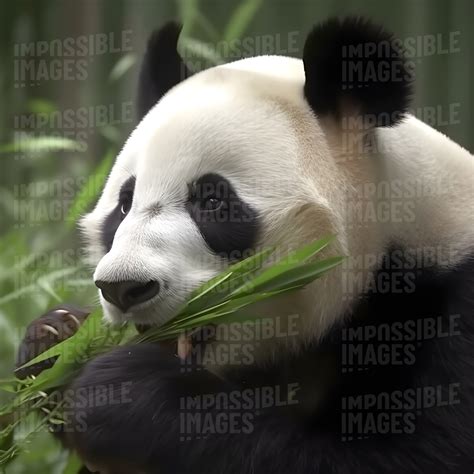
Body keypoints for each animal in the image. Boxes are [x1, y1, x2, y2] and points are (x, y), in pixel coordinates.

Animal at [16, 16, 472, 472]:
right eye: (124, 205)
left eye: (213, 200)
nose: (123, 288)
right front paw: (55, 342)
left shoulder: (451, 306)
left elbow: (411, 454)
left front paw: (121, 392)